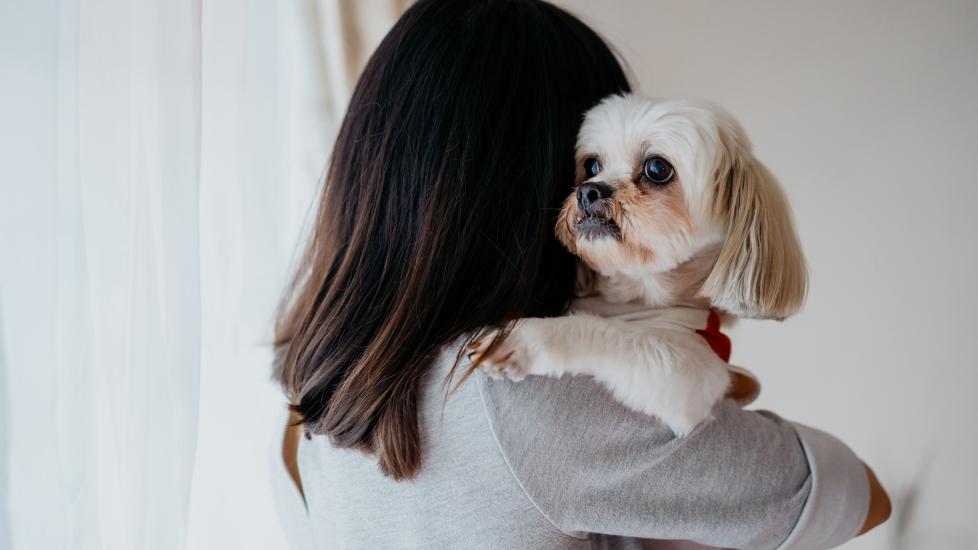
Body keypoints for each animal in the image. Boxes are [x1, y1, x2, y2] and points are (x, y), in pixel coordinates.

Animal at [468, 96, 804, 440]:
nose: (588, 191)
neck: (634, 295)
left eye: (657, 168)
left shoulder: (692, 373)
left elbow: (612, 332)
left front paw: (522, 338)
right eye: (591, 166)